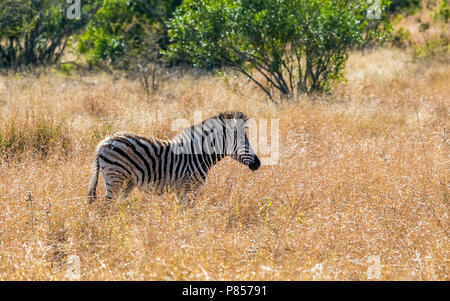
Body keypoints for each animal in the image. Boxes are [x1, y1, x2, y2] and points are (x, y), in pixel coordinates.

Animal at [87, 111, 260, 205]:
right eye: (244, 142)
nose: (258, 164)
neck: (199, 155)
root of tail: (104, 142)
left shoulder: (181, 191)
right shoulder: (187, 188)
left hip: (126, 181)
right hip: (115, 176)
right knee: (107, 207)